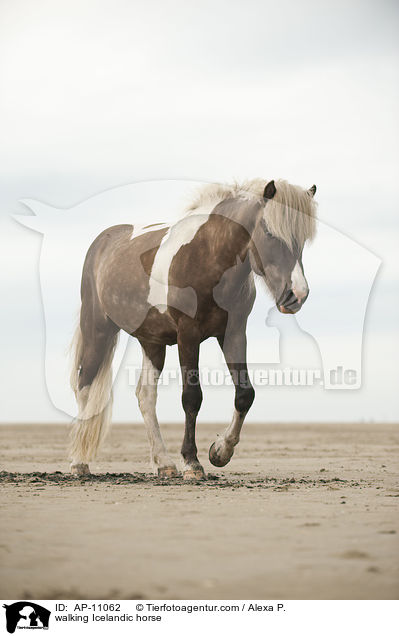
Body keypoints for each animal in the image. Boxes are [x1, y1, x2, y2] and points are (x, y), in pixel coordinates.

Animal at [69, 178, 318, 476]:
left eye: (302, 239)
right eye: (269, 233)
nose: (297, 295)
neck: (208, 255)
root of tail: (103, 241)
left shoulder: (233, 334)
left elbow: (245, 394)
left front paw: (220, 451)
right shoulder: (187, 335)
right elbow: (192, 397)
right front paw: (192, 461)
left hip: (152, 342)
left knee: (145, 395)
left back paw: (163, 463)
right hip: (97, 329)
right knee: (85, 384)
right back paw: (79, 462)